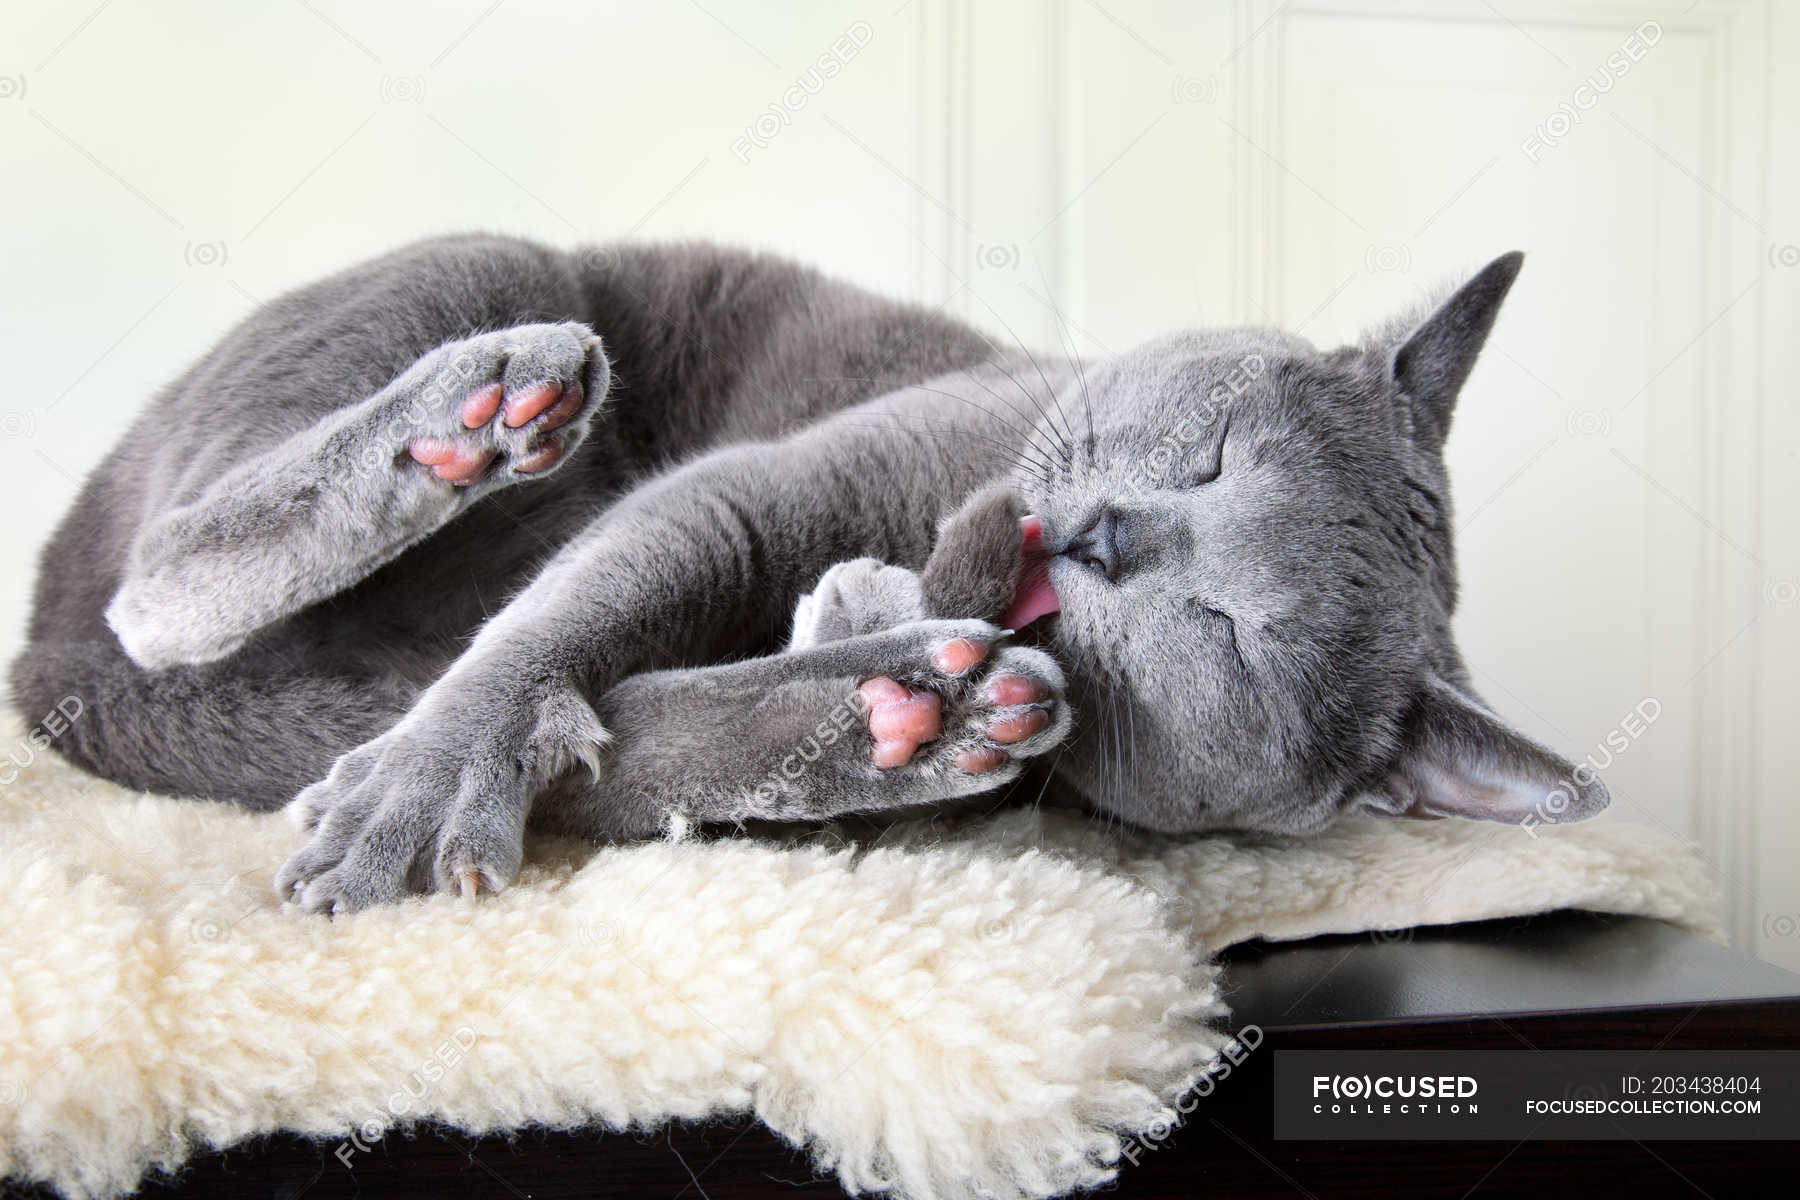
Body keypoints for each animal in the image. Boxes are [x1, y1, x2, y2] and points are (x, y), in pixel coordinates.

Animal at [7, 232, 1612, 910]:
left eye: (1227, 634)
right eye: (1218, 452)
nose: (1111, 535)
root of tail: (39, 642)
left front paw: (887, 680)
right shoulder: (772, 487)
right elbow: (570, 620)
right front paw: (428, 778)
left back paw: (909, 708)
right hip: (481, 263)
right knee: (160, 586)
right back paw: (477, 414)